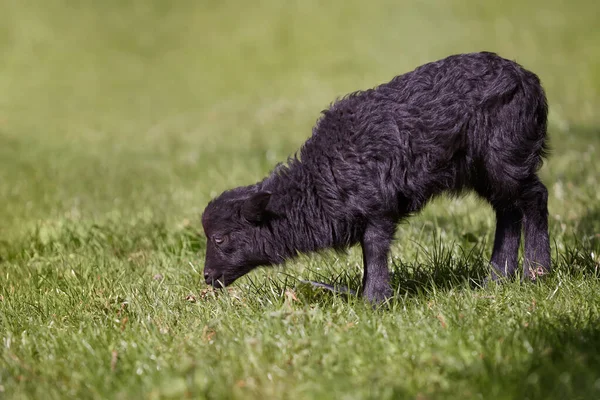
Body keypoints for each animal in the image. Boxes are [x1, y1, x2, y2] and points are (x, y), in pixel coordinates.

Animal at [202, 52, 548, 304]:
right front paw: (369, 295)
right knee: (507, 210)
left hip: (505, 153)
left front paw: (375, 300)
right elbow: (369, 255)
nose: (206, 277)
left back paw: (537, 271)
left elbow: (374, 249)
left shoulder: (378, 207)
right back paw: (498, 277)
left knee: (534, 197)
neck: (321, 179)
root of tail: (528, 79)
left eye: (220, 238)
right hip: (484, 168)